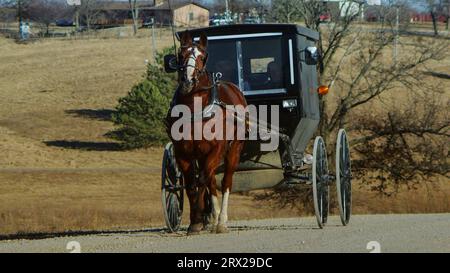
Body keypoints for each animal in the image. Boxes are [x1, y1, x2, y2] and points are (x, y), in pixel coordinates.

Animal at [167, 31, 248, 234]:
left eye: (202, 57)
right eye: (180, 55)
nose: (188, 81)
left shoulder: (216, 149)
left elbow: (202, 179)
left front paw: (199, 216)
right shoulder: (183, 153)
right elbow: (191, 184)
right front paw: (196, 220)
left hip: (233, 150)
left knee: (225, 181)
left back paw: (221, 221)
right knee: (211, 181)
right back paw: (212, 217)